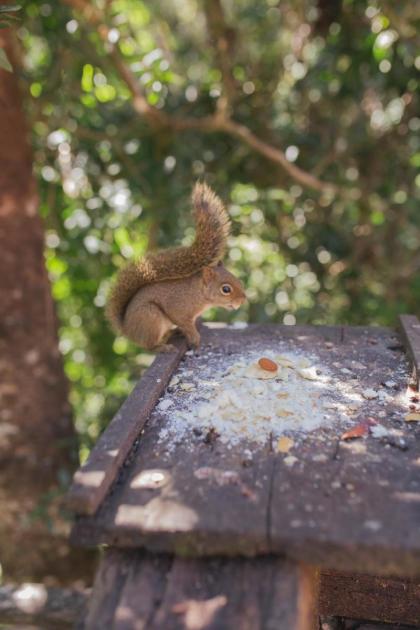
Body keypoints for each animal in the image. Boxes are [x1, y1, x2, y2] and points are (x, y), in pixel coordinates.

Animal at [105, 181, 248, 350]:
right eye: (226, 289)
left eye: (238, 280)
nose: (243, 300)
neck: (198, 293)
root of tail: (127, 330)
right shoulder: (178, 309)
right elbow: (184, 323)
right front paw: (195, 338)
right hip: (151, 318)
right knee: (149, 345)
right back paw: (163, 347)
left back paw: (172, 333)